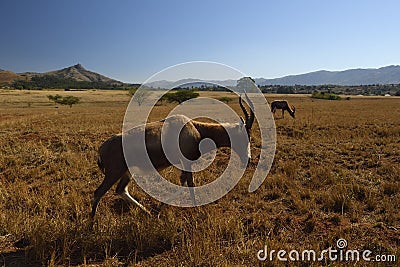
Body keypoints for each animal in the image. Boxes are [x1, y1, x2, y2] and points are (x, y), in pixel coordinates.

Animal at [90, 94, 255, 218]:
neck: (195, 129)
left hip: (127, 172)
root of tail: (102, 148)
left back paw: (147, 212)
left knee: (121, 190)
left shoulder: (183, 164)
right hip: (113, 173)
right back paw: (92, 227)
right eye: (245, 137)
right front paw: (197, 209)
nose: (248, 160)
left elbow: (182, 182)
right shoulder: (187, 163)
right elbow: (190, 183)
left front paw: (159, 208)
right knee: (98, 193)